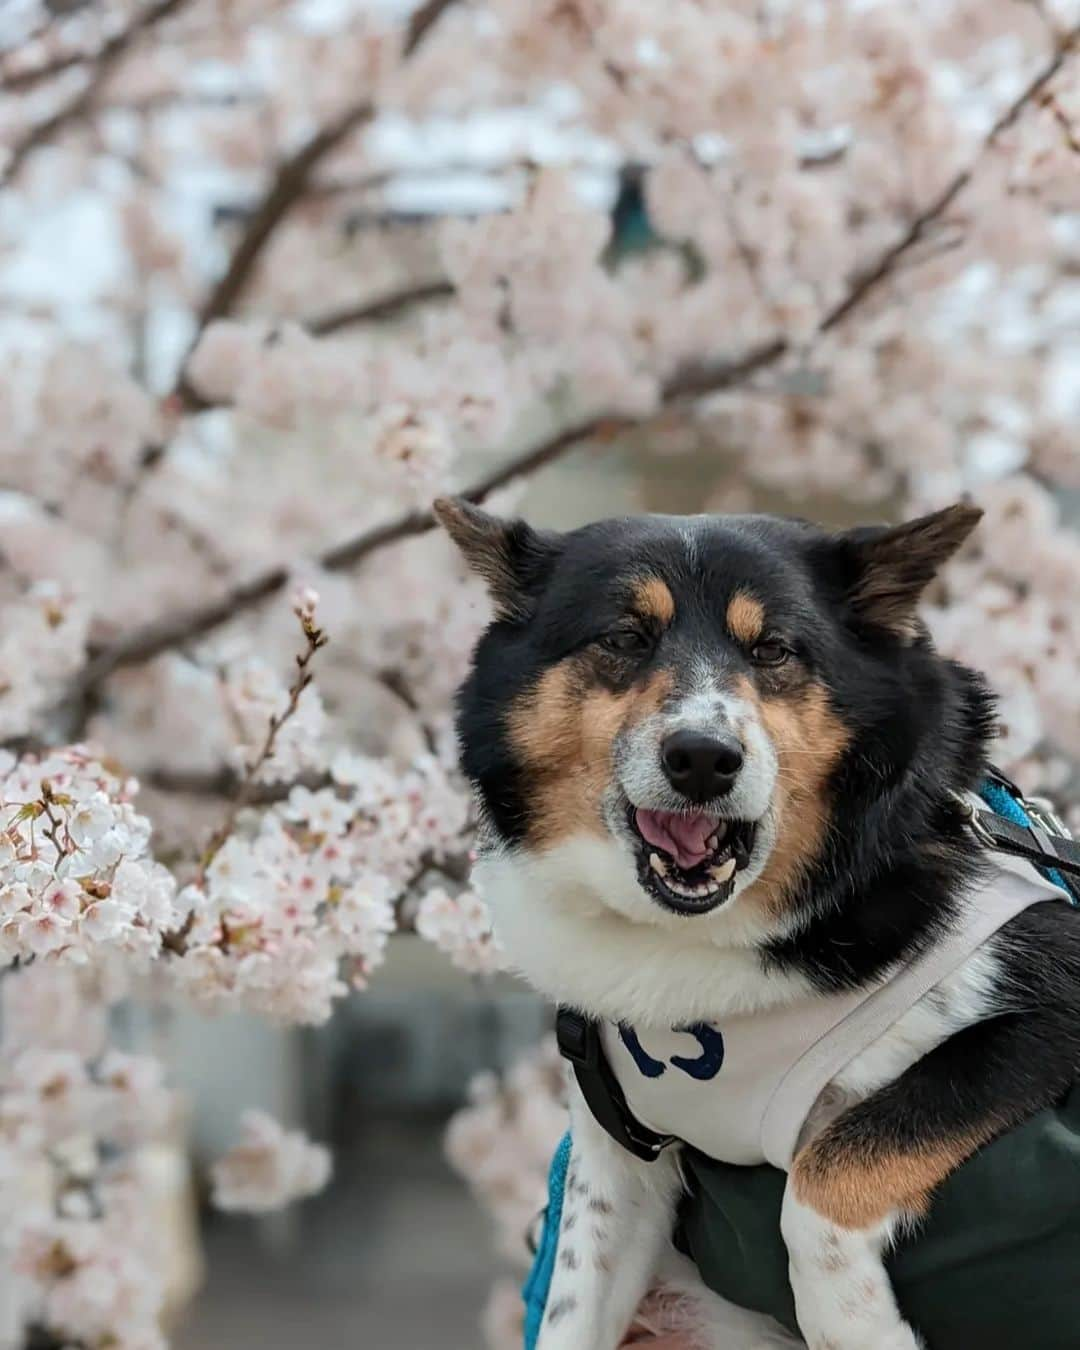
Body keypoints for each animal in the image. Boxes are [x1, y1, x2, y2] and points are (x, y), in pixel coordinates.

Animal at [434, 499, 1080, 1350]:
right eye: (624, 638)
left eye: (773, 648)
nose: (704, 758)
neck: (693, 942)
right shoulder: (615, 1159)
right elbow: (572, 1307)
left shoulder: (1045, 1009)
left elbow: (824, 1174)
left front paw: (857, 1326)